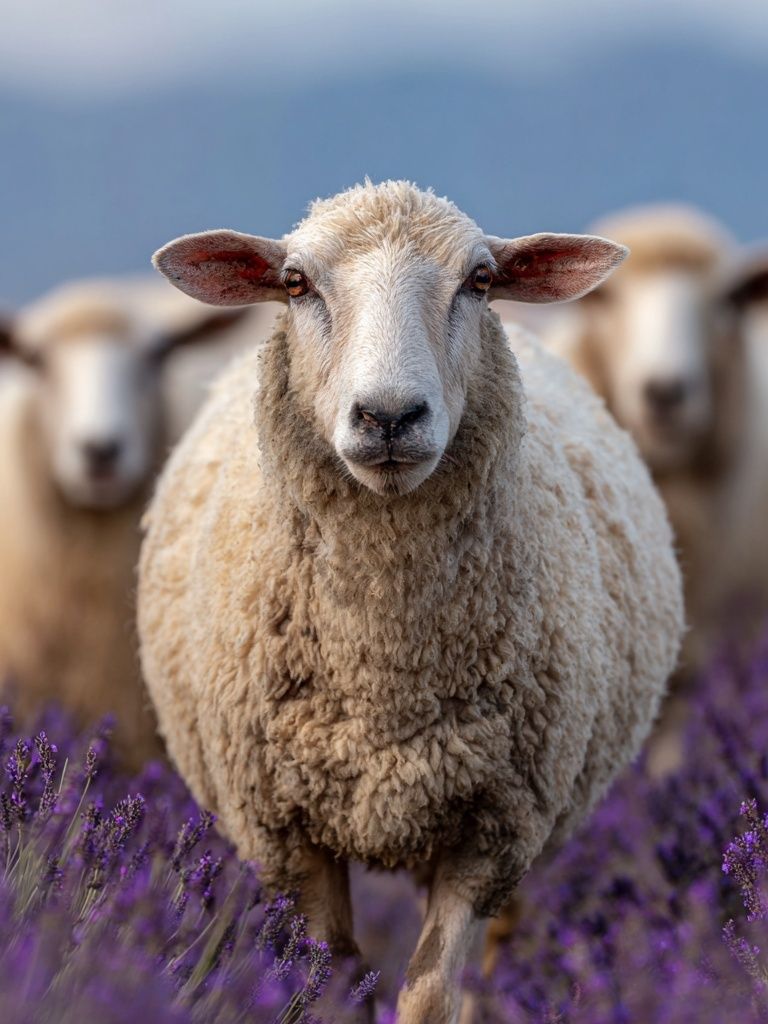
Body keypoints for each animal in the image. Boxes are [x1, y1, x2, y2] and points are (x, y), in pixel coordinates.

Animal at [138, 181, 684, 1024]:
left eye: (481, 280)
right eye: (295, 282)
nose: (389, 417)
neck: (384, 668)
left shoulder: (492, 831)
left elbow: (430, 997)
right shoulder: (289, 837)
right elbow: (334, 987)